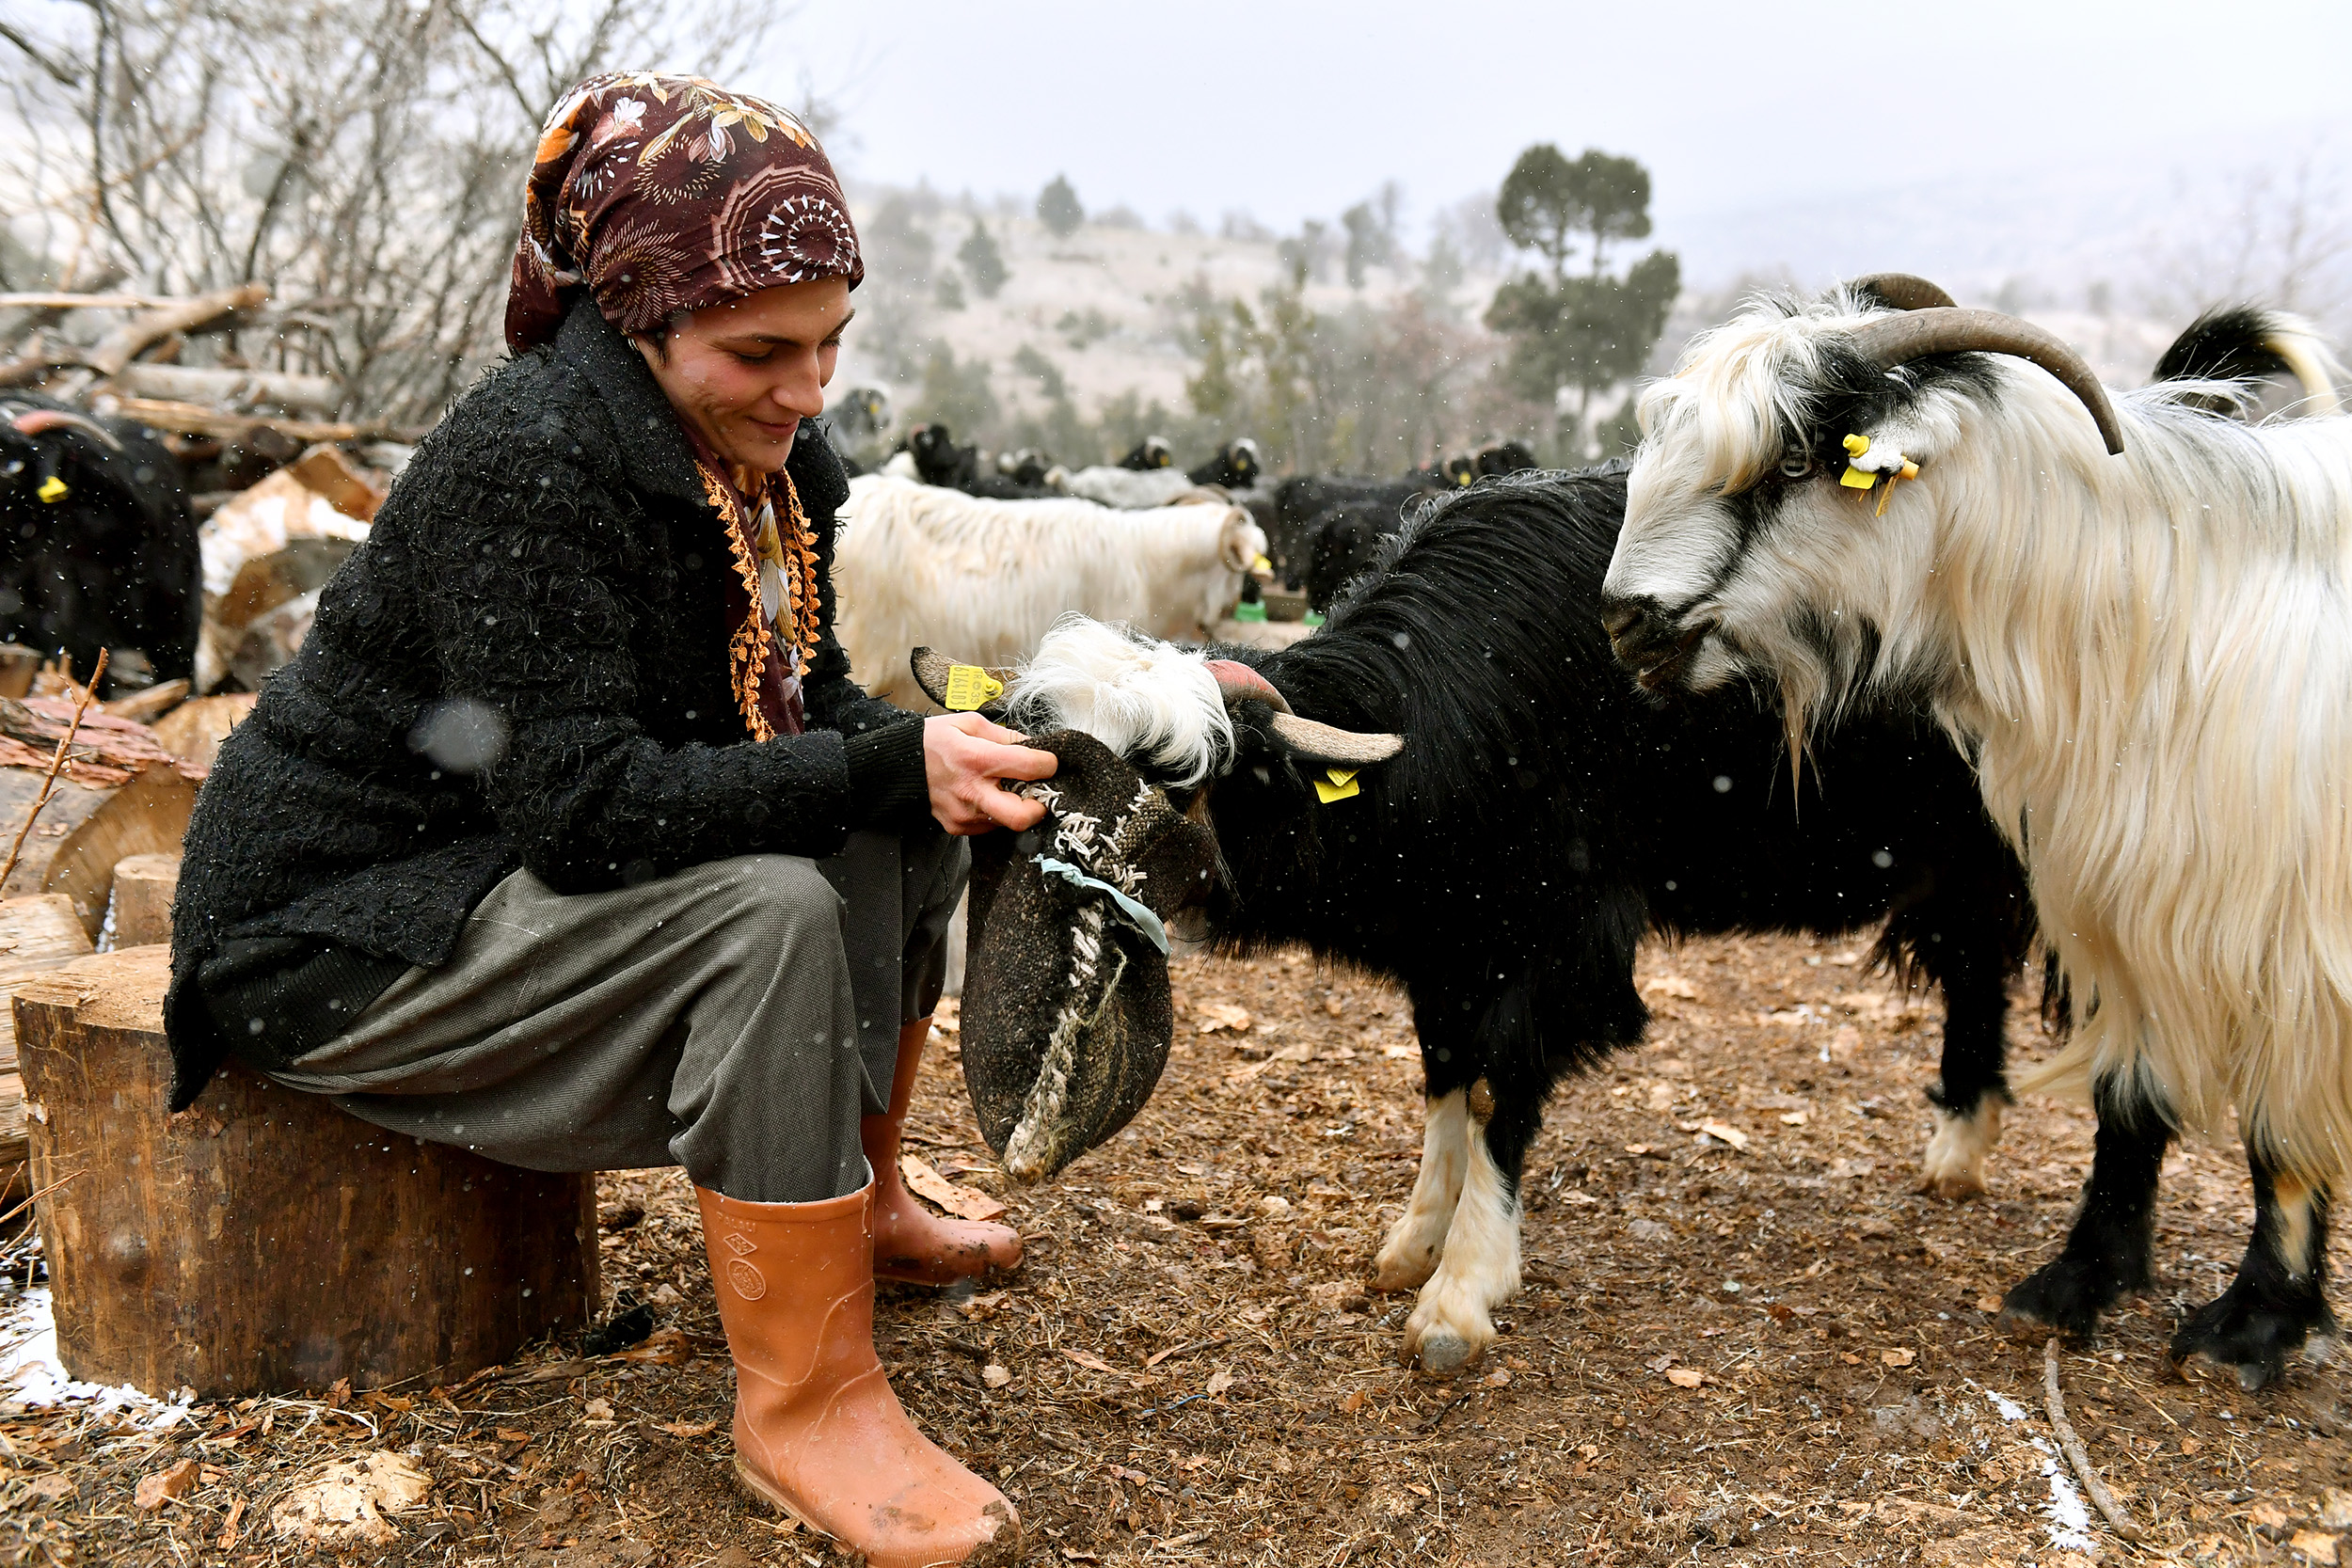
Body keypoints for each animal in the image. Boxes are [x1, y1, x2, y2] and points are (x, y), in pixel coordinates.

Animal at [1002, 460, 2032, 1363]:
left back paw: (1963, 1154)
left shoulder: (1556, 949)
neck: (1453, 709)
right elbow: (1445, 1079)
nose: (1056, 890)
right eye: (1043, 764)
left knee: (1985, 979)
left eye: (1175, 775)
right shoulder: (1450, 946)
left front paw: (1460, 1292)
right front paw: (1412, 1241)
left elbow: (1502, 1089)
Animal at [1609, 278, 2352, 1382]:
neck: (2174, 607)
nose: (1625, 620)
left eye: (1795, 461)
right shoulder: (2118, 898)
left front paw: (2255, 1322)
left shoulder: (2294, 934)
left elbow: (2284, 1134)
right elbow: (2127, 1093)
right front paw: (2076, 1282)